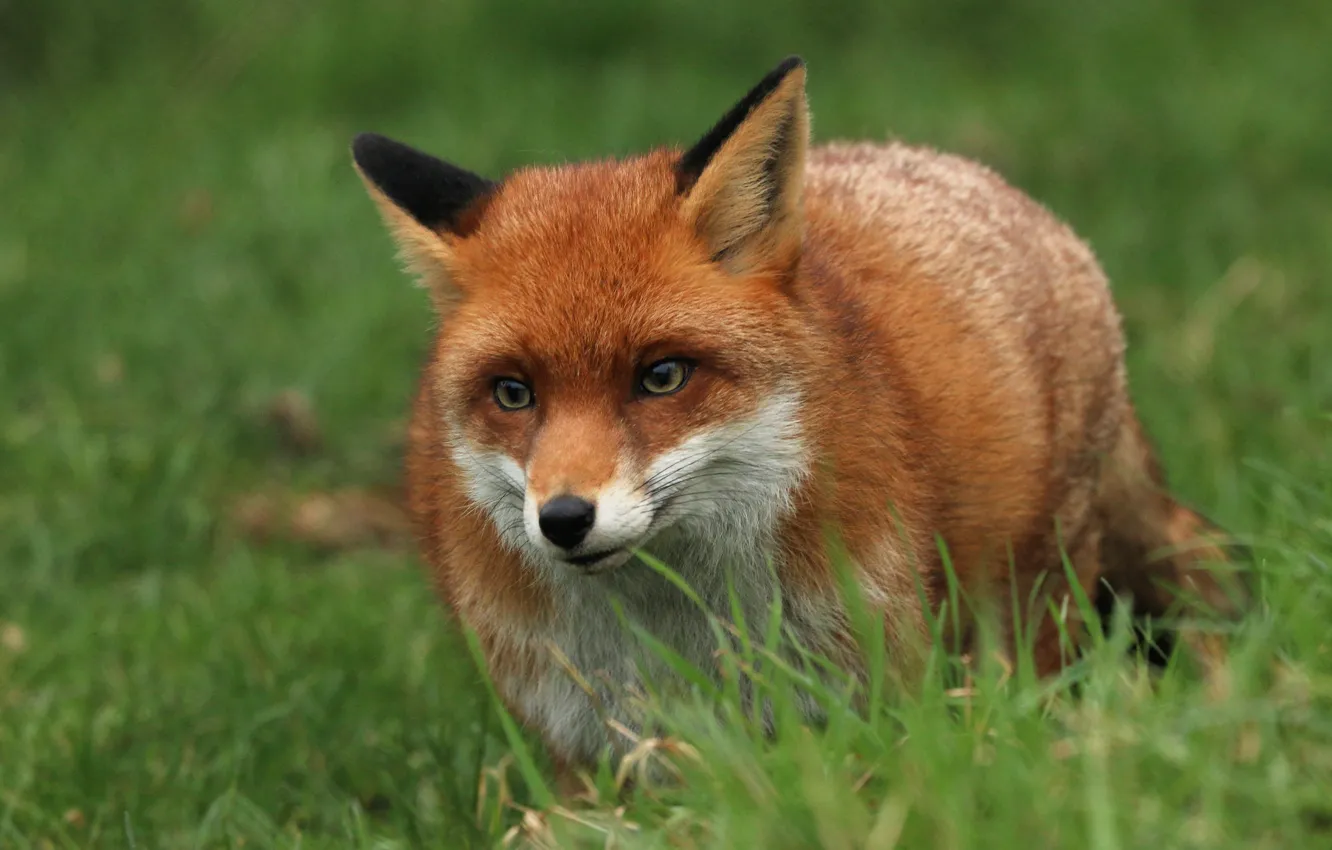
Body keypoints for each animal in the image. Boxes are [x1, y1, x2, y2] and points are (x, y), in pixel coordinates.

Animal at [350, 56, 1247, 788]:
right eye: (513, 394)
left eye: (661, 376)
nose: (565, 519)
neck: (677, 629)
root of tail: (972, 175)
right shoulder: (586, 743)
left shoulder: (871, 681)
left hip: (1035, 593)